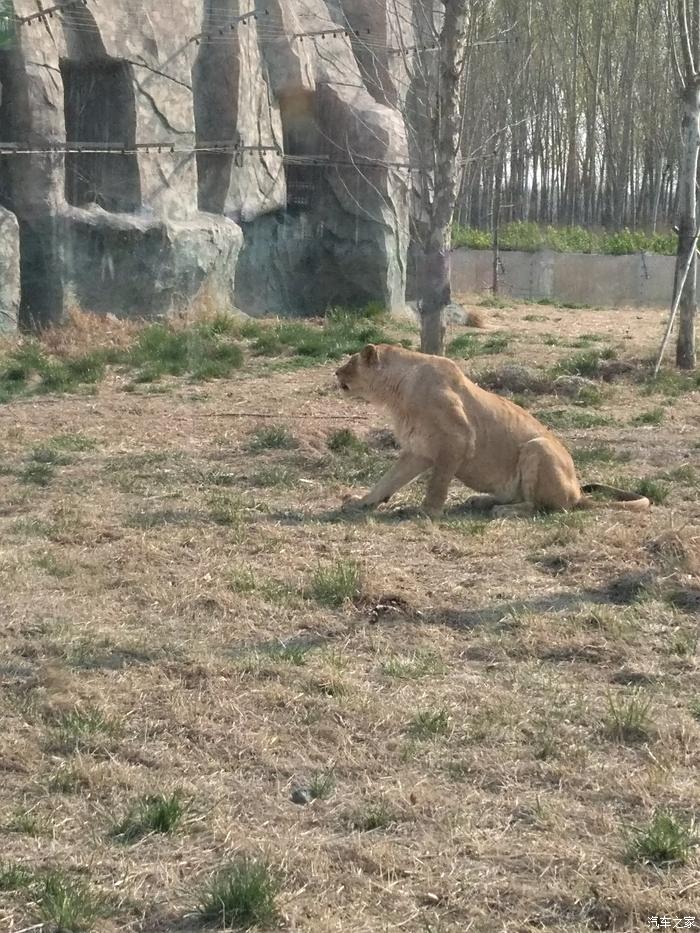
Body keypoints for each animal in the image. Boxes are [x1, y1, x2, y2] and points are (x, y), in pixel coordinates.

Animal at [334, 342, 652, 516]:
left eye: (350, 362)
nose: (335, 372)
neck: (396, 394)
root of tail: (578, 493)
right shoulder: (418, 450)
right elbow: (387, 481)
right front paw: (362, 502)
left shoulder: (457, 440)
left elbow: (437, 483)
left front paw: (425, 512)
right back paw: (480, 500)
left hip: (538, 447)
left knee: (544, 507)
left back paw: (503, 510)